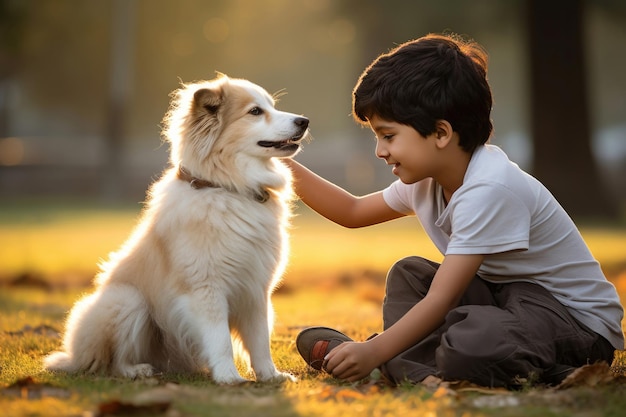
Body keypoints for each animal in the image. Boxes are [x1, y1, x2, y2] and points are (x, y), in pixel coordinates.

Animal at [42, 73, 308, 382]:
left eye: (272, 107)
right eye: (255, 111)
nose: (304, 121)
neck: (227, 188)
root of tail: (75, 356)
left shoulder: (256, 290)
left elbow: (260, 339)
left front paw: (270, 375)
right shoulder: (206, 289)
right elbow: (220, 340)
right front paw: (229, 377)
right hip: (127, 299)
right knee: (115, 361)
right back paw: (138, 370)